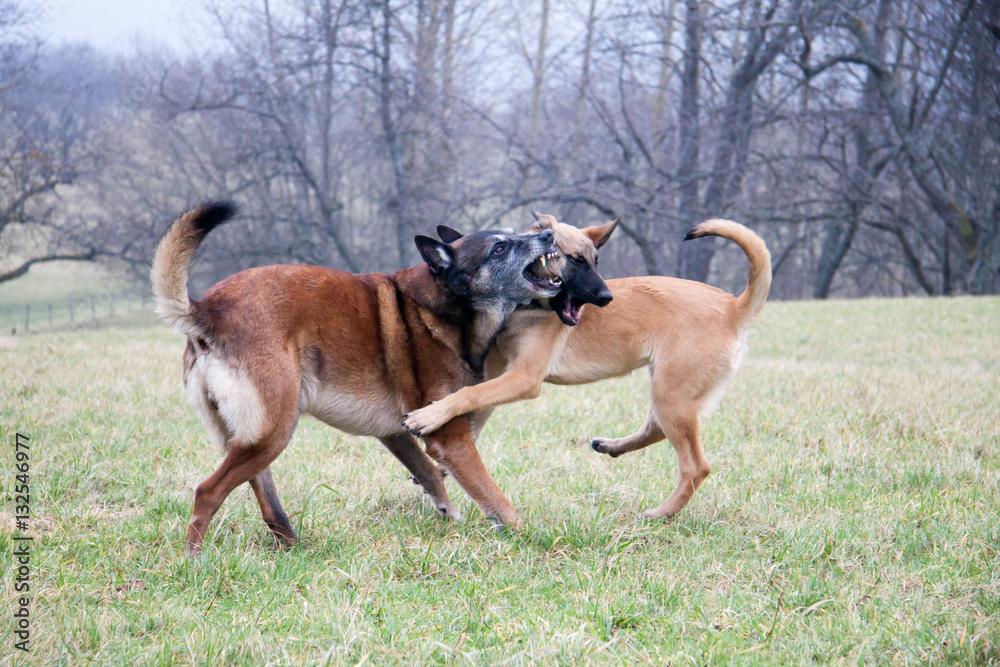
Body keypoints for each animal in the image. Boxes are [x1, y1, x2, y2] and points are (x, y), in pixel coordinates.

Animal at [152, 202, 568, 552]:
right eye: (500, 248)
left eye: (515, 234)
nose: (549, 235)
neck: (444, 305)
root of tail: (210, 309)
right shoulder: (450, 438)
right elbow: (495, 497)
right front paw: (531, 536)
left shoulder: (397, 433)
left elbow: (430, 475)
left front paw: (448, 514)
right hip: (274, 430)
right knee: (207, 491)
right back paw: (194, 558)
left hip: (256, 435)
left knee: (261, 490)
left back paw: (289, 542)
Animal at [404, 214, 772, 520]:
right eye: (574, 260)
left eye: (594, 261)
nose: (606, 297)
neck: (524, 310)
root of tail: (733, 307)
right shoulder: (496, 374)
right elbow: (474, 413)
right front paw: (441, 463)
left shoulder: (523, 378)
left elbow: (467, 397)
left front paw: (428, 416)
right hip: (669, 390)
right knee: (656, 429)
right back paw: (612, 447)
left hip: (672, 393)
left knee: (696, 466)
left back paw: (660, 513)